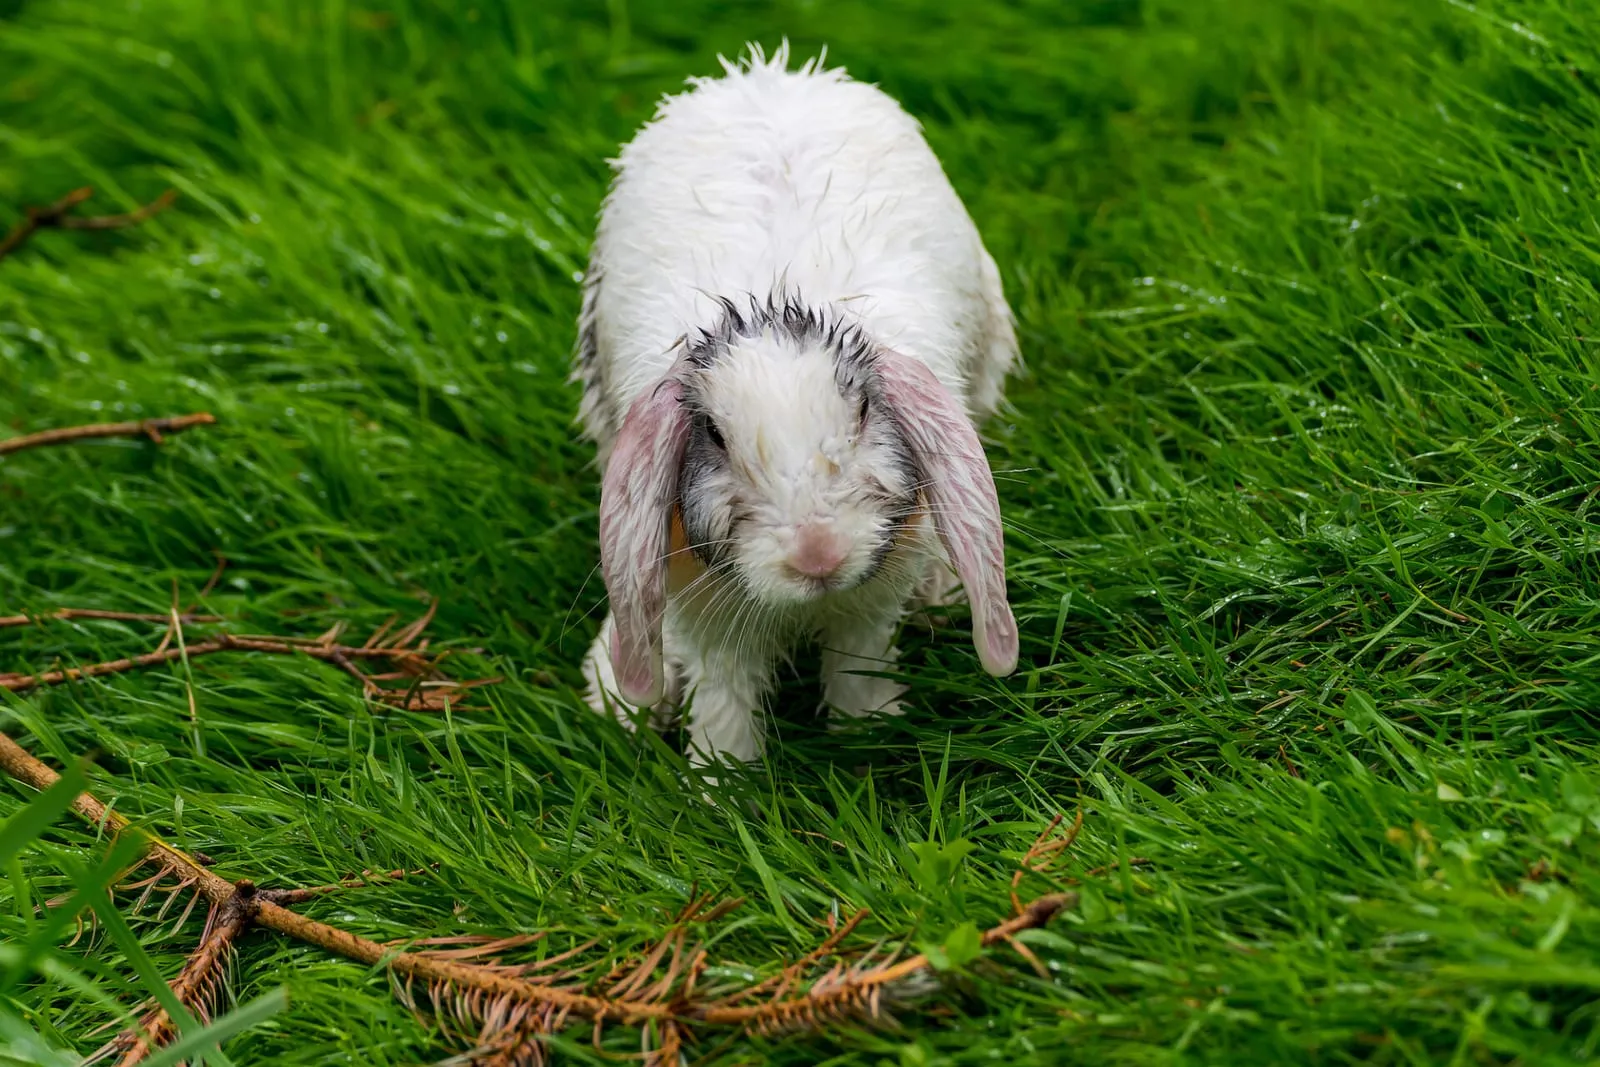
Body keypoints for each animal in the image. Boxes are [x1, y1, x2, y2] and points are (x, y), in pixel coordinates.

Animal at [575, 42, 1020, 767]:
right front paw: (720, 780)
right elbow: (725, 697)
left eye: (862, 412)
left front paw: (870, 734)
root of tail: (771, 70)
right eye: (714, 434)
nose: (819, 557)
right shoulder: (707, 609)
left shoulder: (871, 600)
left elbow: (857, 659)